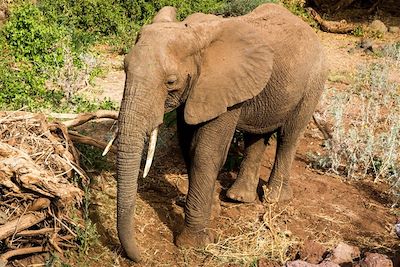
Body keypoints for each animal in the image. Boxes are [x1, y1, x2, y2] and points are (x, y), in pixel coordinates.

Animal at [115, 3, 324, 262]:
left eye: (170, 81)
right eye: (124, 68)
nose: (141, 256)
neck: (194, 37)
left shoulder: (222, 87)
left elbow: (206, 153)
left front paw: (194, 244)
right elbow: (188, 146)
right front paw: (212, 211)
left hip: (313, 81)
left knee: (289, 135)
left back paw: (274, 199)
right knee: (256, 136)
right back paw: (239, 198)